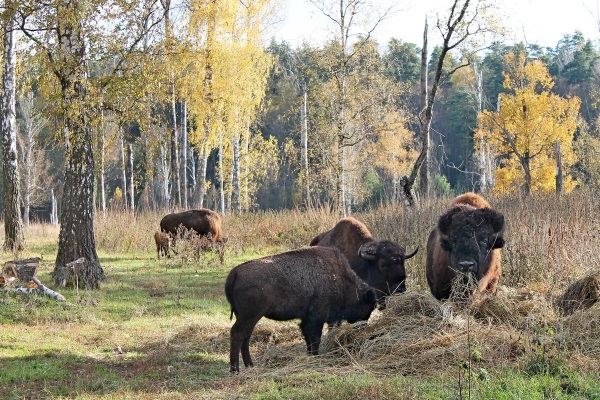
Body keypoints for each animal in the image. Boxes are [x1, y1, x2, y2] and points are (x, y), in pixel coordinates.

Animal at [225, 245, 376, 374]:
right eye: (367, 307)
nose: (362, 327)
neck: (341, 279)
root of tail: (235, 272)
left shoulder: (306, 319)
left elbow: (308, 338)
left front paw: (310, 356)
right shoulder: (316, 319)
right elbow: (315, 339)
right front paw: (316, 357)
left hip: (247, 317)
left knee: (245, 337)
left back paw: (249, 365)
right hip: (250, 316)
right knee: (237, 334)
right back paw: (235, 370)